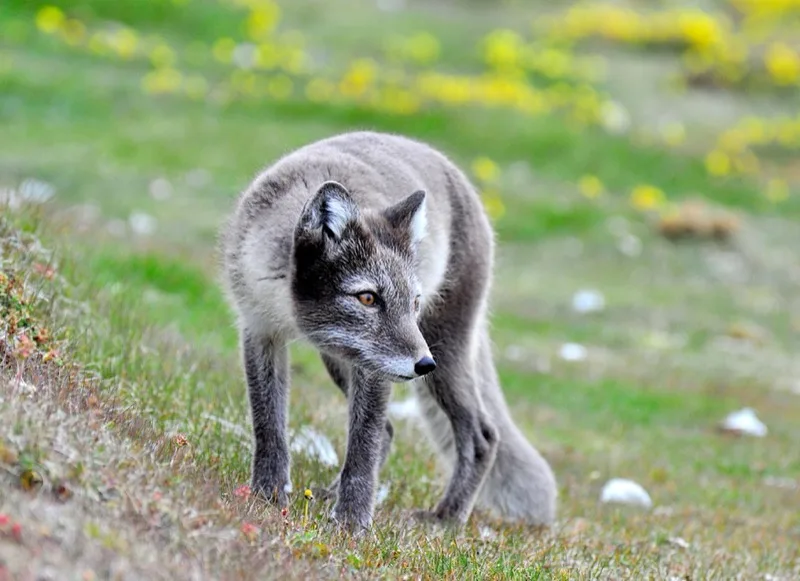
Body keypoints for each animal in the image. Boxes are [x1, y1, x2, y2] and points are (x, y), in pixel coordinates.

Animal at [219, 130, 557, 531]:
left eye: (414, 301)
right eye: (368, 298)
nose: (424, 364)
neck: (285, 304)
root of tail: (458, 177)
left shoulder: (376, 368)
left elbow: (362, 446)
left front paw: (351, 523)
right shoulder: (259, 330)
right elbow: (268, 424)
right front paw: (267, 495)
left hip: (442, 348)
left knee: (483, 437)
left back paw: (446, 518)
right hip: (343, 358)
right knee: (390, 431)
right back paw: (331, 494)